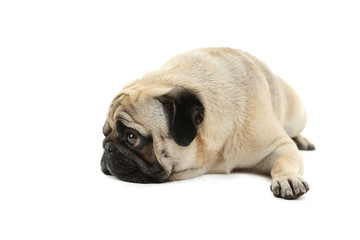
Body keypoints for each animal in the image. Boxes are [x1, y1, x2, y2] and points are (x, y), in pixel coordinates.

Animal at [101, 47, 316, 199]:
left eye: (132, 137)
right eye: (104, 134)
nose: (108, 147)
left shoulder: (280, 145)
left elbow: (283, 162)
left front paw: (287, 178)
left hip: (298, 116)